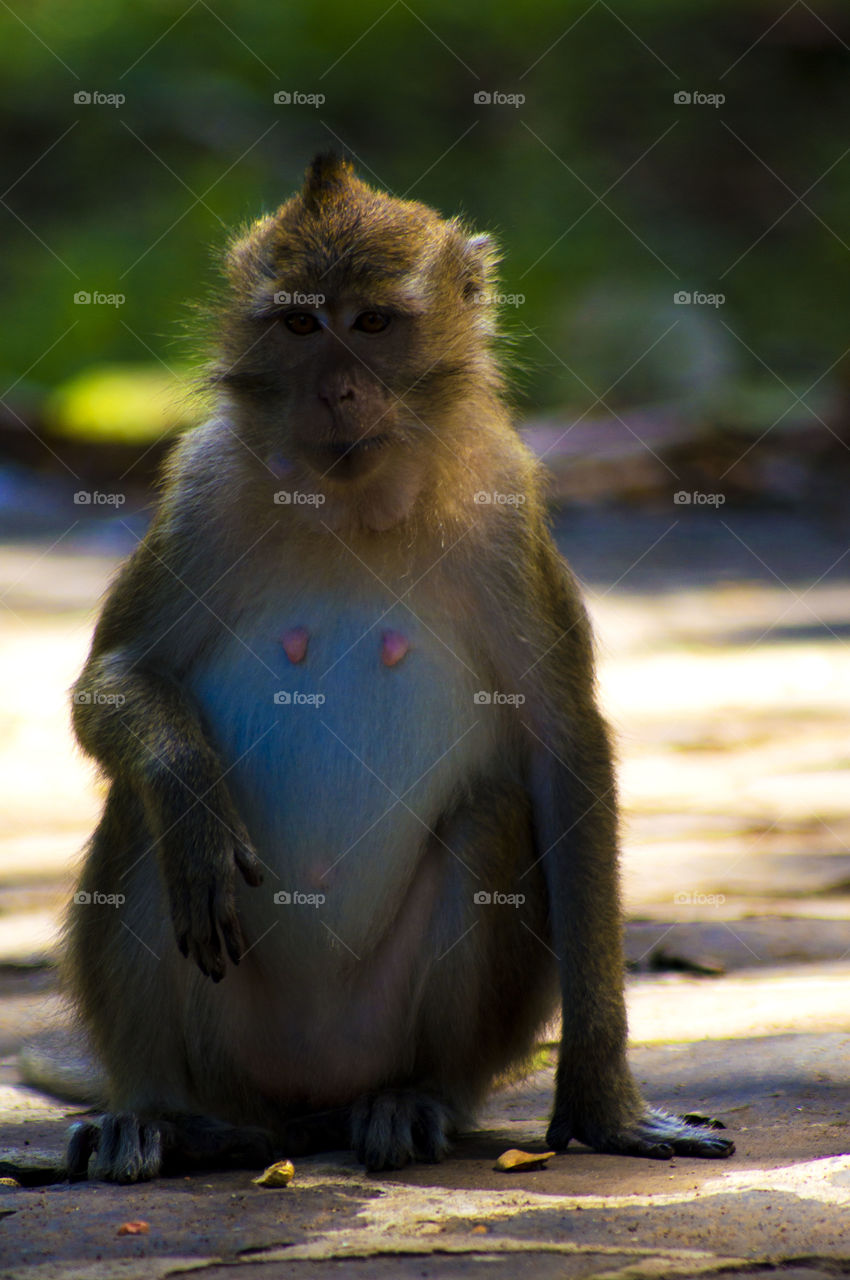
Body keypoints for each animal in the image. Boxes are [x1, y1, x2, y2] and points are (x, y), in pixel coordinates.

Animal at [59, 153, 734, 1182]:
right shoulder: (204, 486)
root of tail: (306, 1106)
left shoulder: (506, 508)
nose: (337, 392)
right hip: (228, 1043)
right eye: (302, 326)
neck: (353, 506)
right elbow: (115, 680)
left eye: (373, 324)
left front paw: (603, 1101)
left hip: (392, 1032)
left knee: (491, 820)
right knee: (147, 820)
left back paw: (411, 1102)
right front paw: (190, 789)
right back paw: (168, 1118)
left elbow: (563, 750)